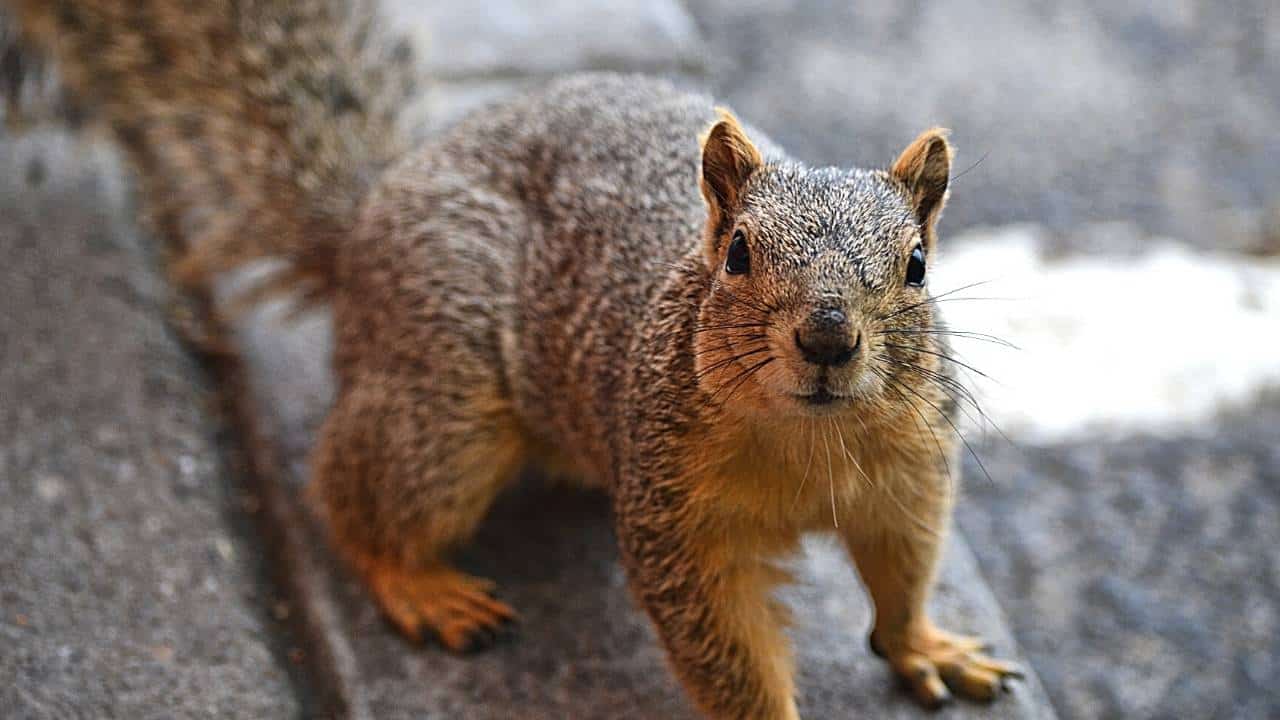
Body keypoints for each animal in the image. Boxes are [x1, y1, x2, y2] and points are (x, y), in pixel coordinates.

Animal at [6, 1, 1024, 716]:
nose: (825, 338)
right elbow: (721, 646)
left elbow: (905, 567)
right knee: (350, 491)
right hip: (445, 410)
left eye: (918, 264)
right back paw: (419, 585)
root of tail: (367, 220)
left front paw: (926, 644)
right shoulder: (674, 516)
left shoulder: (909, 470)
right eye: (736, 253)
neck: (809, 442)